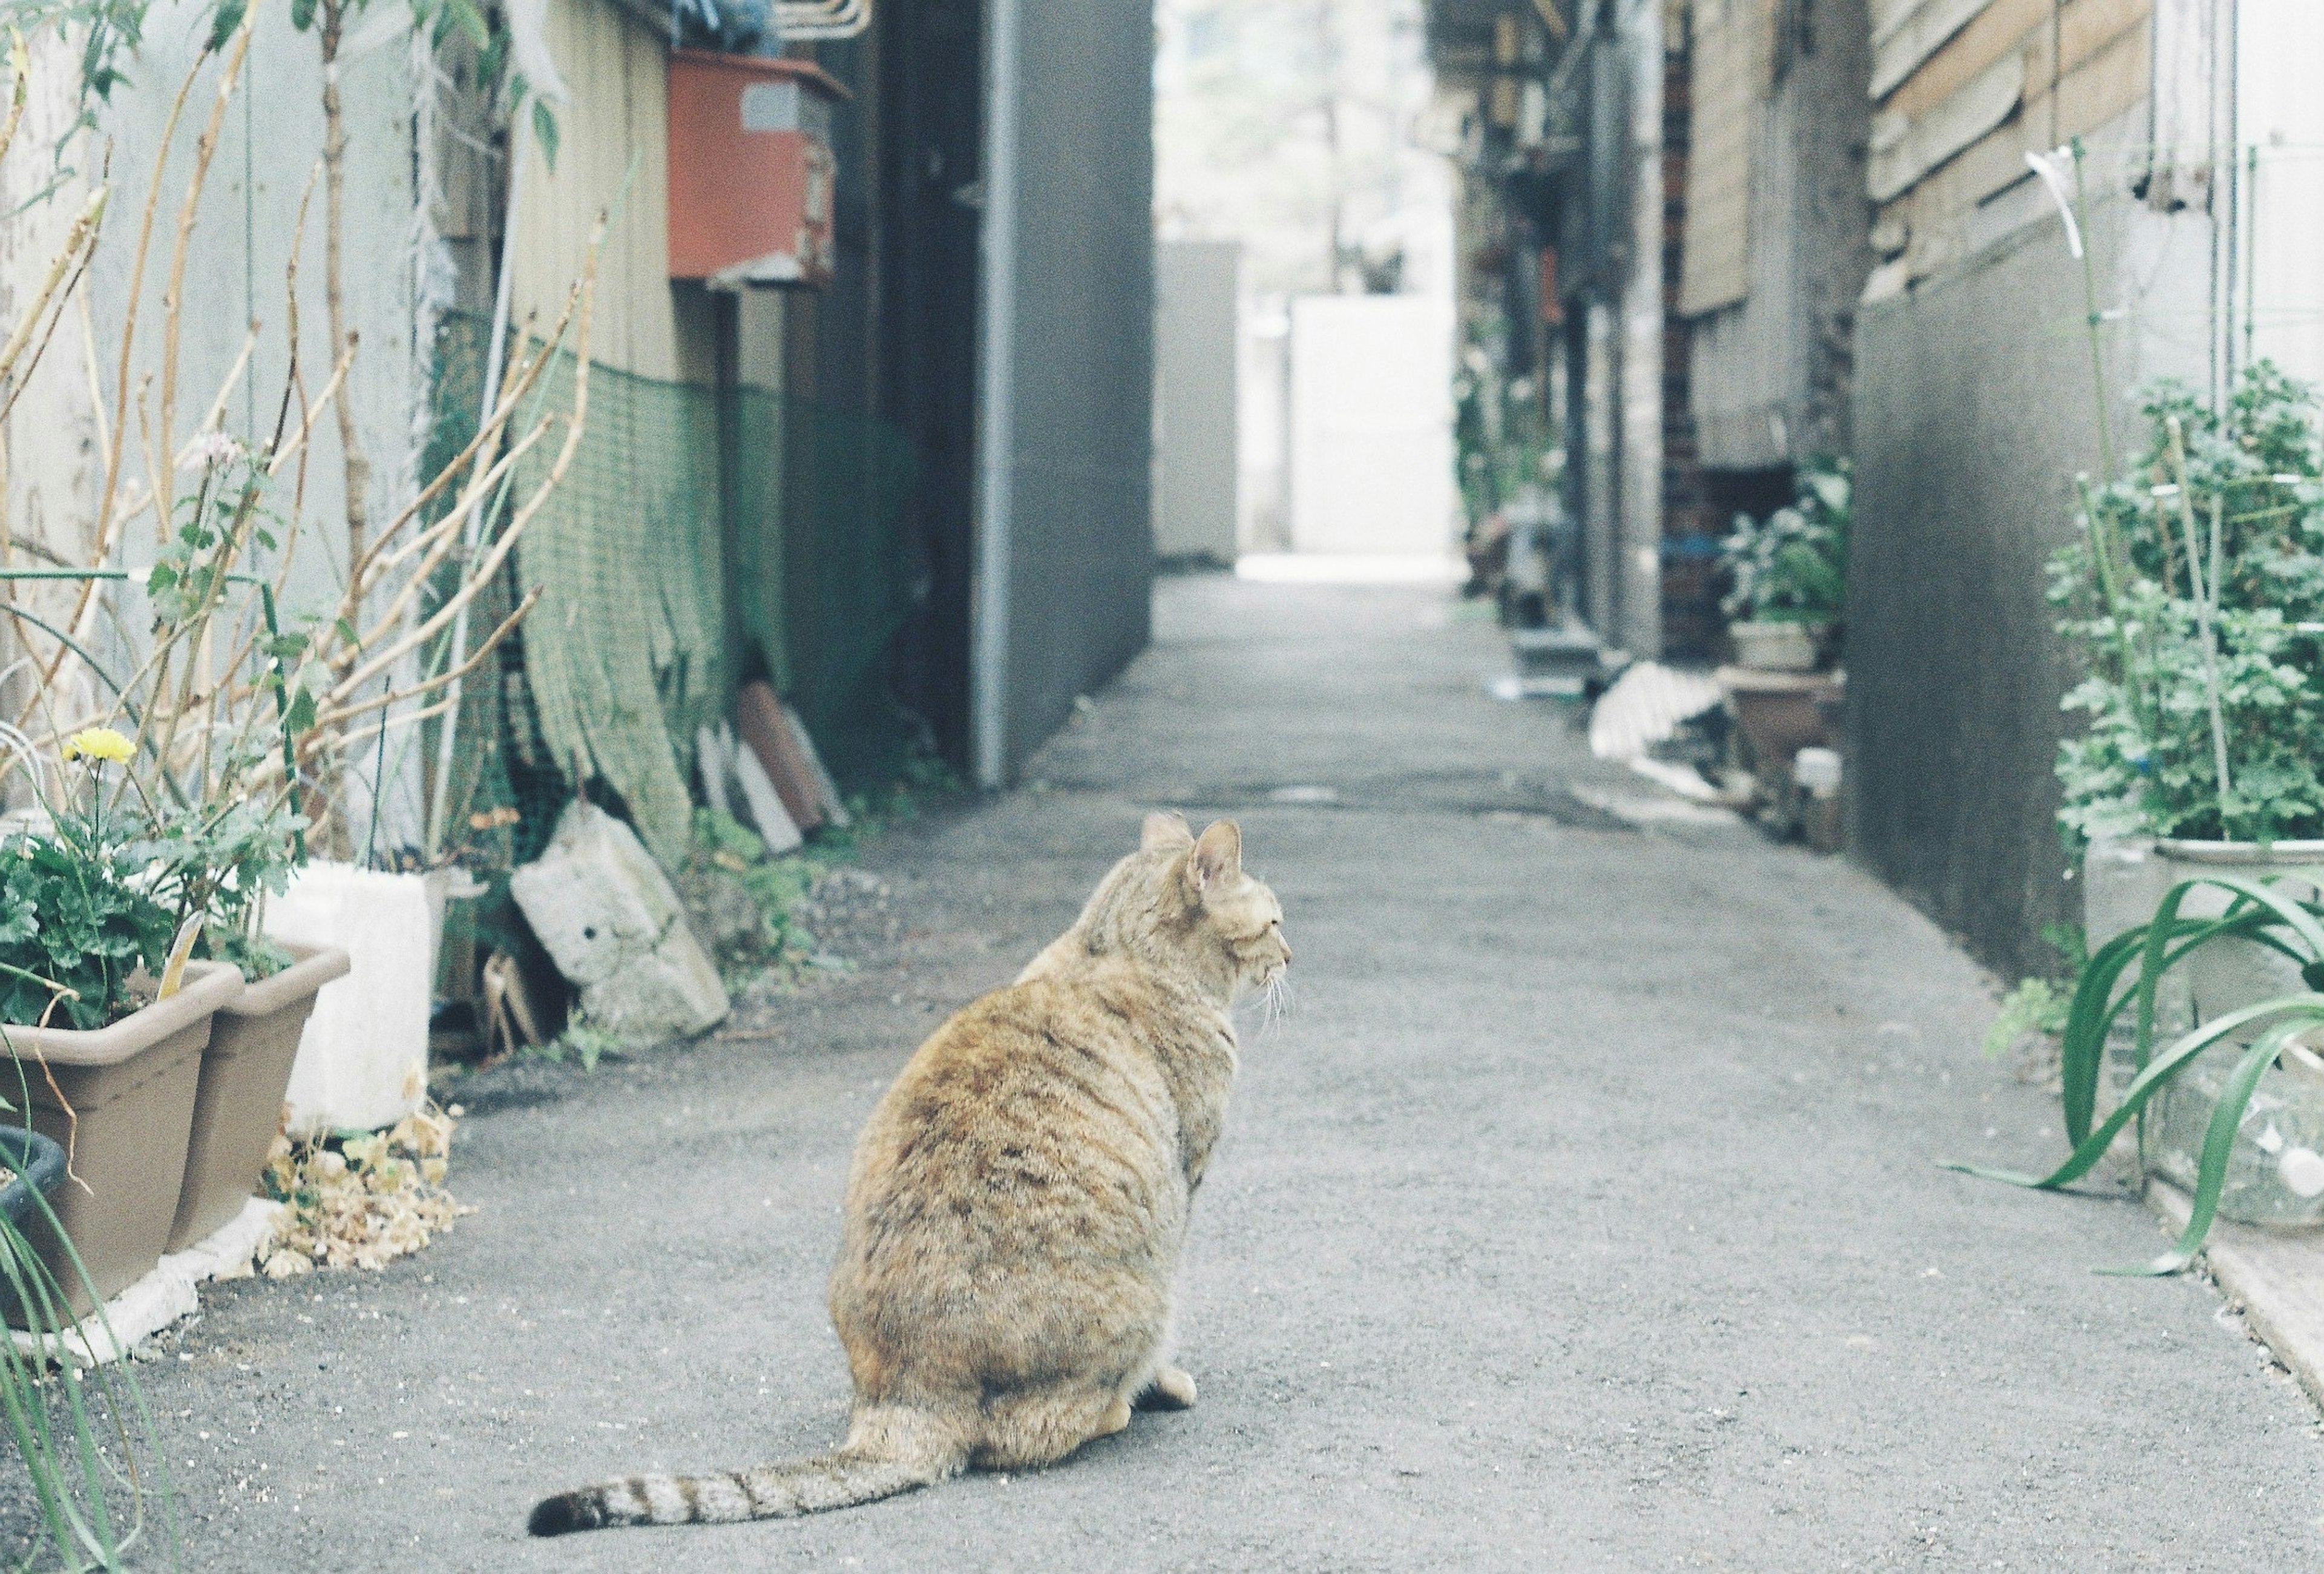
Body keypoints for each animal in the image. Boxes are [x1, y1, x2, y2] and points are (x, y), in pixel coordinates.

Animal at [530, 809, 1292, 1534]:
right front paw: (1167, 1382)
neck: (1116, 950)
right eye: (1276, 921)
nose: (1290, 953)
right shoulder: (1187, 1177)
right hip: (1146, 1292)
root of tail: (903, 1398)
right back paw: (1119, 1408)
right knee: (1031, 1433)